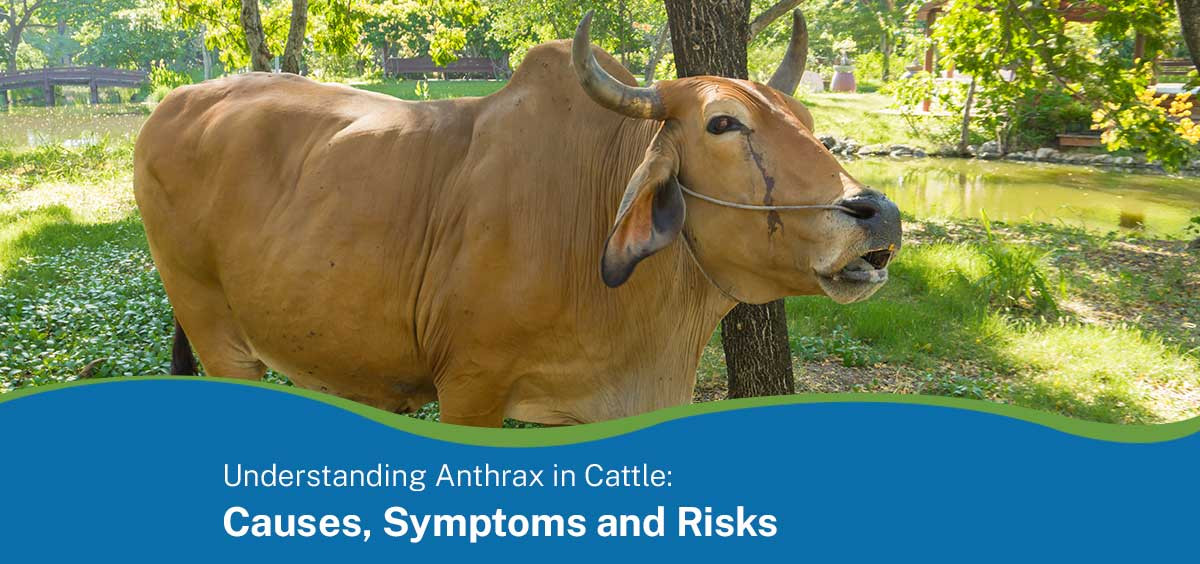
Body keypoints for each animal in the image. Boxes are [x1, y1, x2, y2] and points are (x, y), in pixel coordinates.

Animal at [133, 13, 901, 427]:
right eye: (722, 123)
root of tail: (174, 104)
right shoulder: (470, 387)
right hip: (212, 325)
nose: (880, 215)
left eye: (807, 122)